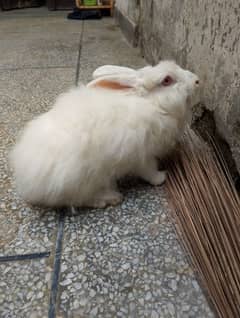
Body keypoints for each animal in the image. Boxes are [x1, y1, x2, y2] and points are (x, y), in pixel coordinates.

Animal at [9, 60, 199, 207]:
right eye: (167, 80)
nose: (197, 80)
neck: (153, 104)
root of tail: (27, 182)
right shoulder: (142, 155)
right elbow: (148, 170)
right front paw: (161, 177)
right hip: (79, 180)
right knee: (78, 199)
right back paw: (110, 198)